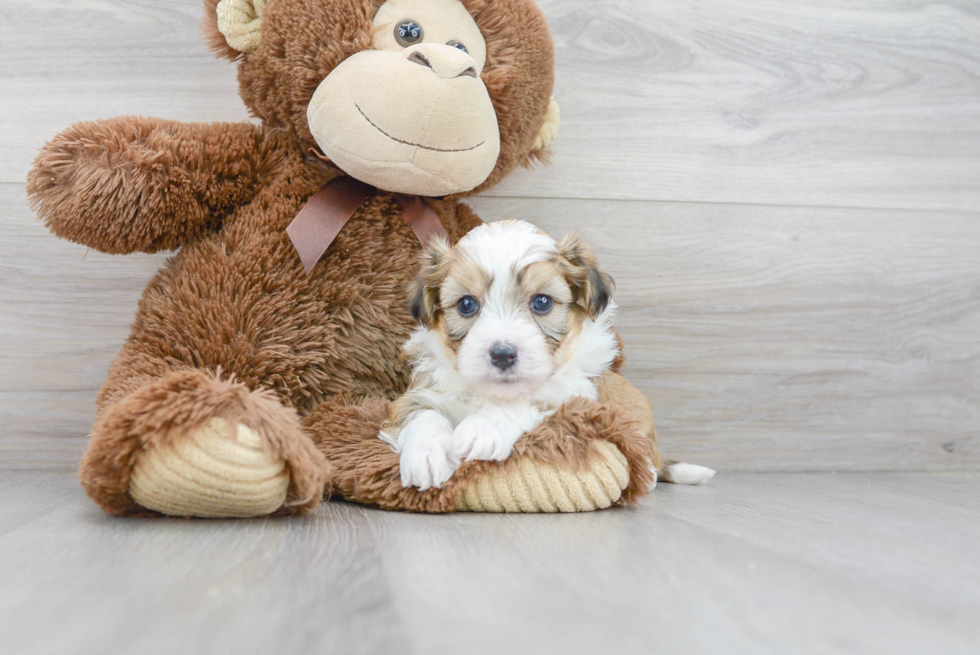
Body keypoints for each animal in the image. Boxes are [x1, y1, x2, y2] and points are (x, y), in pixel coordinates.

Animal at [382, 220, 620, 492]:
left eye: (542, 302)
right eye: (466, 304)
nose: (503, 354)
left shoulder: (575, 397)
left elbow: (527, 400)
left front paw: (484, 427)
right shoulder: (421, 388)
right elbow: (419, 410)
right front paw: (427, 454)